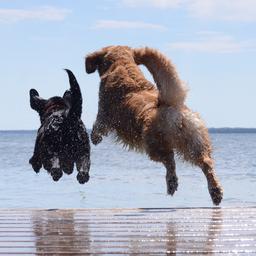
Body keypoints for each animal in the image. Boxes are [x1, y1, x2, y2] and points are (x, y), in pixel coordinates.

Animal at [85, 46, 223, 206]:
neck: (121, 65)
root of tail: (170, 105)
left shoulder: (103, 113)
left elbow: (98, 126)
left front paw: (95, 138)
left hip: (154, 145)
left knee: (170, 160)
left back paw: (172, 183)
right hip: (194, 142)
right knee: (206, 163)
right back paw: (215, 192)